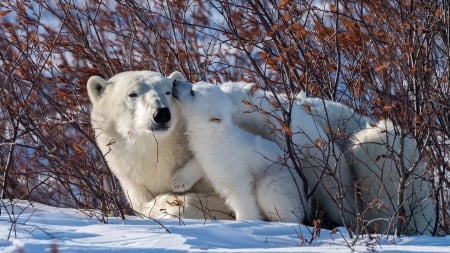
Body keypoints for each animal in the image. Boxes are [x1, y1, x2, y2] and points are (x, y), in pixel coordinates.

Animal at [171, 81, 310, 221]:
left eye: (192, 92)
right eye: (195, 83)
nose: (175, 83)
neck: (216, 137)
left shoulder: (231, 163)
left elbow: (239, 192)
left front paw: (245, 220)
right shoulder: (207, 156)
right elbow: (199, 163)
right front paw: (178, 181)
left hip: (278, 177)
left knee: (271, 194)